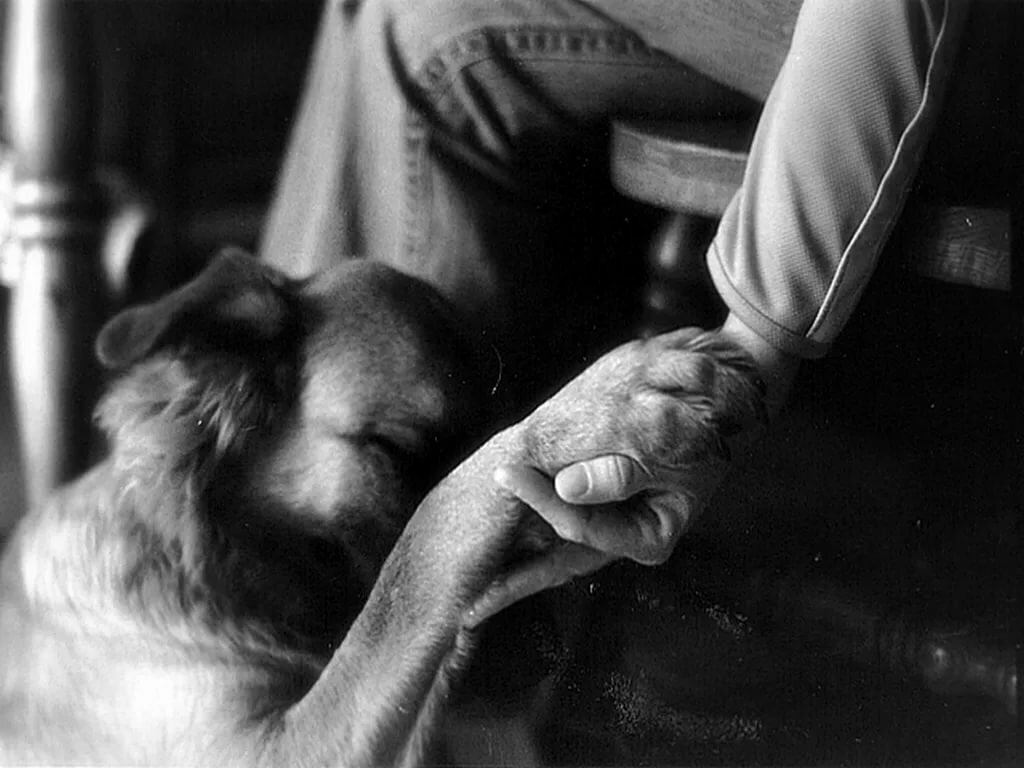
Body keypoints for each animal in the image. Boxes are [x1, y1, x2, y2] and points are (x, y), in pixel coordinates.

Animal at [0, 249, 761, 765]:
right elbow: (415, 562)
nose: (544, 665)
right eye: (399, 448)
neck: (203, 560)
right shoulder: (271, 751)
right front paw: (598, 404)